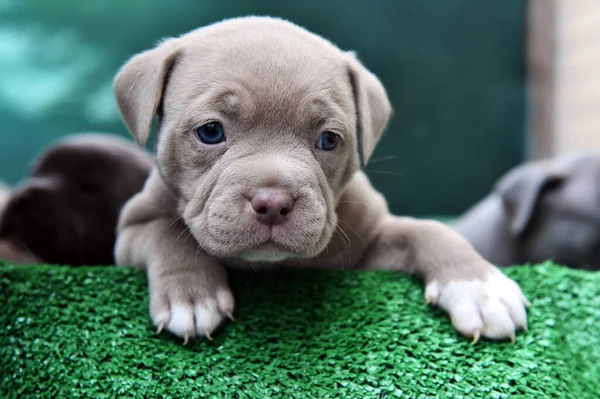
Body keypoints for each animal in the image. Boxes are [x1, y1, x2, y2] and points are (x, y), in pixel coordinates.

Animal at [115, 17, 528, 346]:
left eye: (328, 140)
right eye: (211, 131)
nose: (273, 203)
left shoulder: (371, 241)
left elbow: (428, 230)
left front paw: (479, 285)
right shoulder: (130, 231)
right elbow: (167, 233)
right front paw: (191, 294)